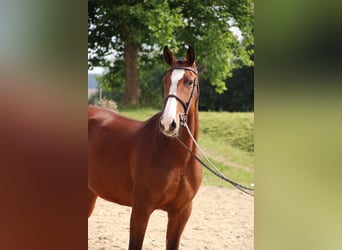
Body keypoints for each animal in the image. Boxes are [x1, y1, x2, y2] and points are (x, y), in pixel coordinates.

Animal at [87, 45, 203, 250]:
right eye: (165, 80)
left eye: (189, 82)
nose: (168, 124)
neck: (179, 160)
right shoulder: (141, 209)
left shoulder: (181, 212)